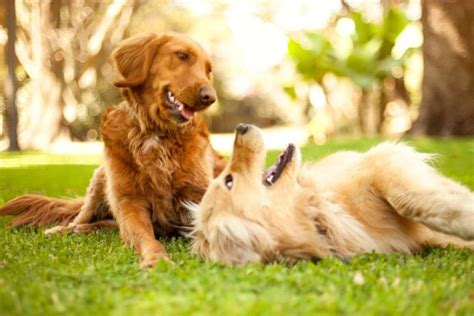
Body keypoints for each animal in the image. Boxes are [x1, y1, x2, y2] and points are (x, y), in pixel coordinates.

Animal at [0, 33, 226, 268]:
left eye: (208, 70)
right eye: (182, 55)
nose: (210, 97)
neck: (155, 133)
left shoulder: (198, 195)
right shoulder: (129, 201)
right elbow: (144, 236)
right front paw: (156, 258)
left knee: (108, 224)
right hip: (100, 179)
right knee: (83, 217)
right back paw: (66, 229)